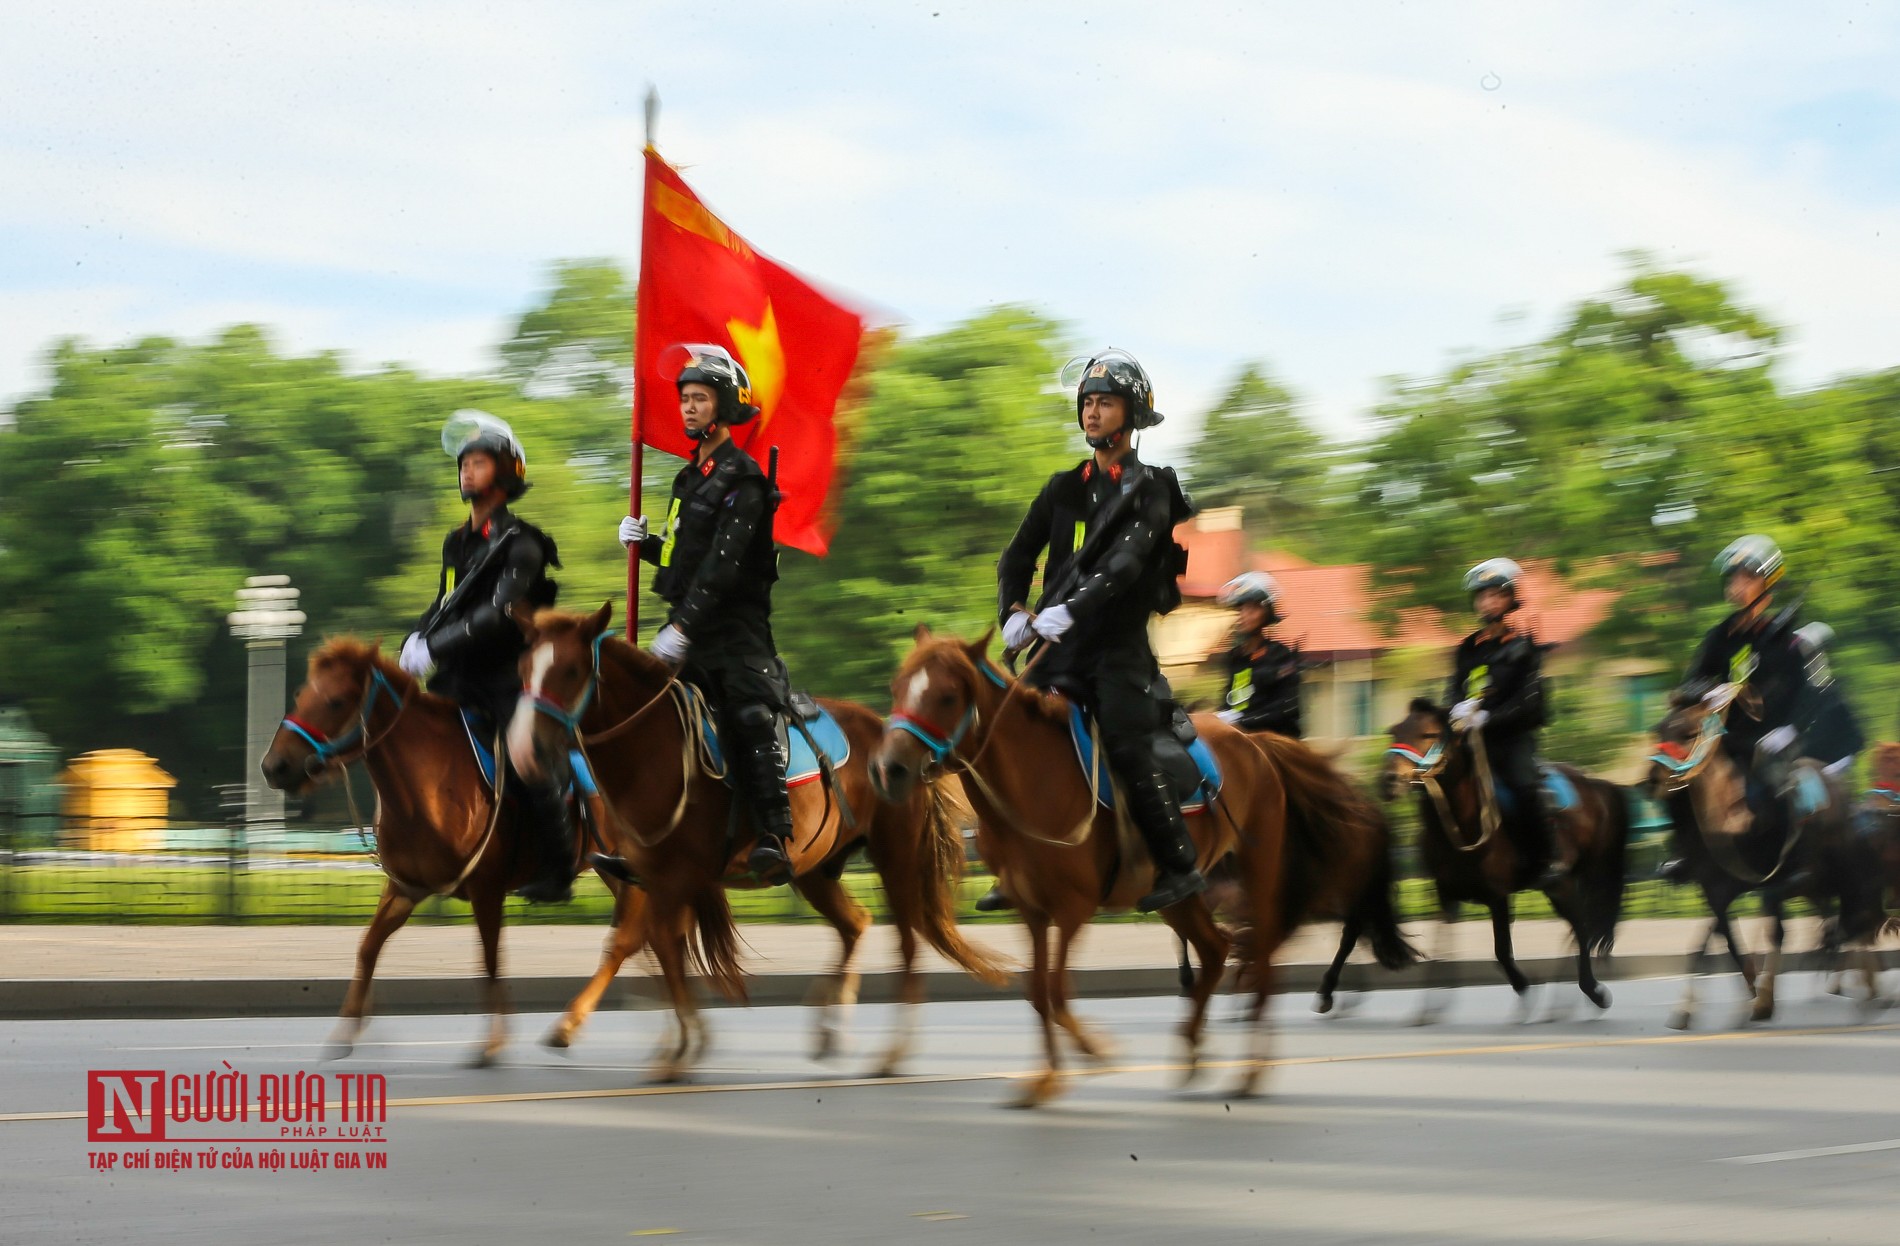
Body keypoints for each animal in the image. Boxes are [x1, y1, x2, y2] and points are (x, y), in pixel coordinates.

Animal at [256, 641, 627, 1063]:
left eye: (336, 701)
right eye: (301, 694)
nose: (274, 766)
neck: (429, 782)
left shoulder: (486, 888)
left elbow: (490, 958)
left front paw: (494, 1041)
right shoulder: (405, 888)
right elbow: (367, 948)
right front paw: (349, 1027)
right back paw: (571, 1025)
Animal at [505, 604, 1010, 1078]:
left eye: (572, 670)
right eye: (524, 668)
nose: (527, 749)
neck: (652, 753)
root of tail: (896, 736)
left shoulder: (671, 877)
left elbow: (650, 943)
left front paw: (677, 1043)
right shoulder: (650, 876)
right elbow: (658, 946)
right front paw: (680, 1041)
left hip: (895, 855)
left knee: (905, 942)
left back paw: (891, 1052)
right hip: (814, 869)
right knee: (855, 923)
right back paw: (829, 1024)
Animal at [866, 626, 1413, 1101]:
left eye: (946, 696)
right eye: (897, 687)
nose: (888, 770)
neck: (1034, 782)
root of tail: (1257, 743)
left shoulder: (1072, 908)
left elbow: (1056, 990)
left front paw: (1092, 1052)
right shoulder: (1032, 911)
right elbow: (1039, 992)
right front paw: (1047, 1078)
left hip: (1258, 870)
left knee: (1258, 956)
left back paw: (1251, 1071)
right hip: (1177, 891)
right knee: (1216, 949)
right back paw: (1192, 1050)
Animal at [1383, 695, 1634, 1025]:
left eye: (1429, 734)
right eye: (1393, 731)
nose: (1388, 781)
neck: (1464, 823)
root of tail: (1596, 784)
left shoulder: (1497, 896)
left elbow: (1501, 950)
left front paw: (1525, 990)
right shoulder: (1446, 893)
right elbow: (1441, 947)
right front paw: (1429, 1009)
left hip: (1572, 879)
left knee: (1582, 927)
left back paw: (1592, 991)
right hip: (1563, 884)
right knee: (1579, 927)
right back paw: (1565, 1003)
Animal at [1641, 687, 1892, 1025]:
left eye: (1688, 733)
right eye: (1659, 730)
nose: (1651, 781)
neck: (1730, 823)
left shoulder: (1792, 878)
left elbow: (1769, 929)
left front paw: (1761, 999)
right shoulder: (1718, 892)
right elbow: (1715, 941)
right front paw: (1692, 1006)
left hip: (1834, 875)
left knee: (1855, 918)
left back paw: (1869, 989)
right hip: (1820, 886)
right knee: (1842, 921)